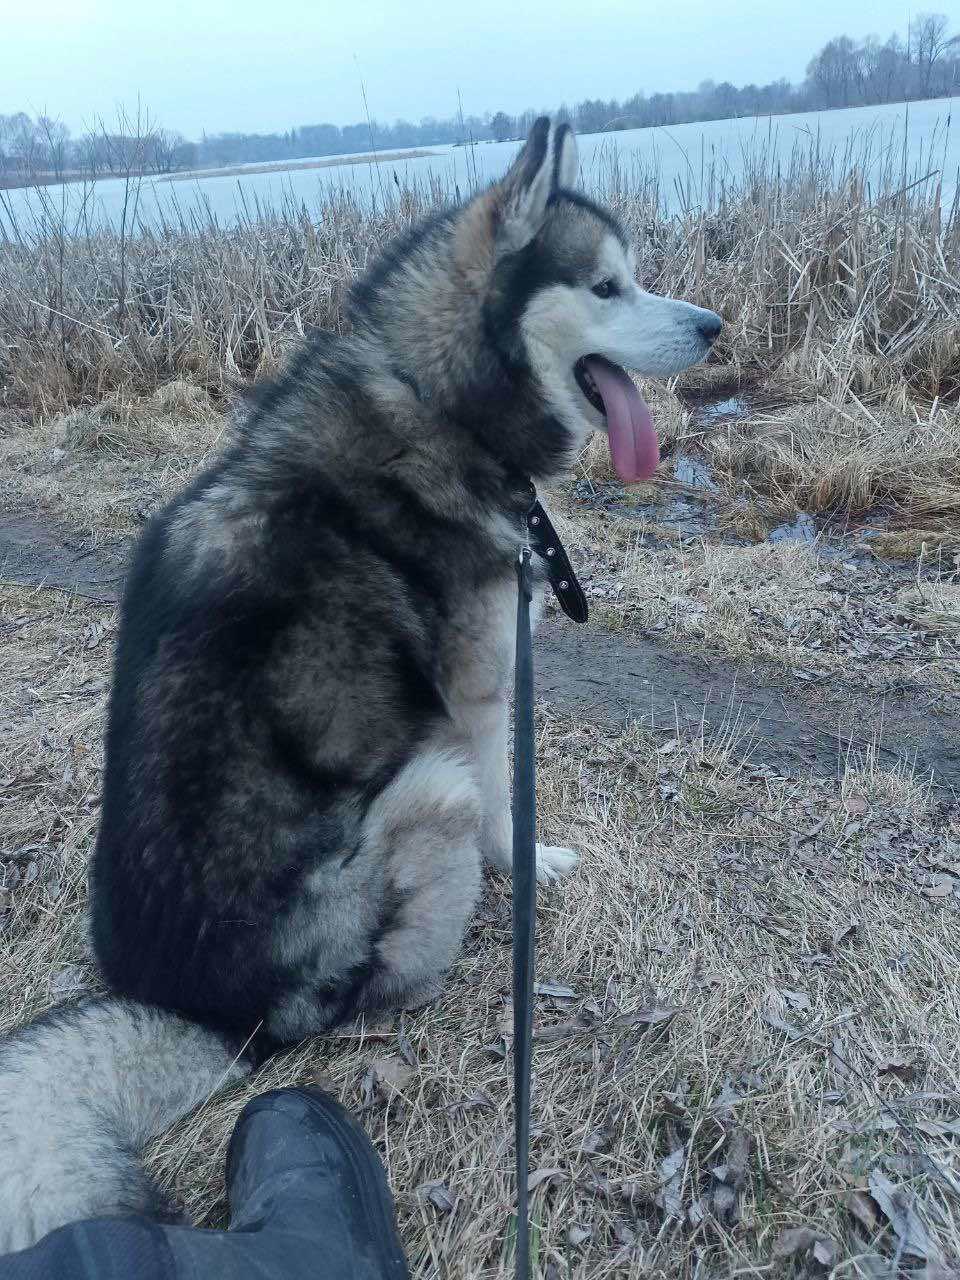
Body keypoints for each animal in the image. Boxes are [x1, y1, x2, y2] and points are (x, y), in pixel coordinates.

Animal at [0, 122, 716, 1249]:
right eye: (608, 285)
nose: (715, 327)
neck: (436, 402)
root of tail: (210, 1014)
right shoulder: (481, 696)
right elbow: (509, 812)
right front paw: (535, 868)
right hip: (426, 797)